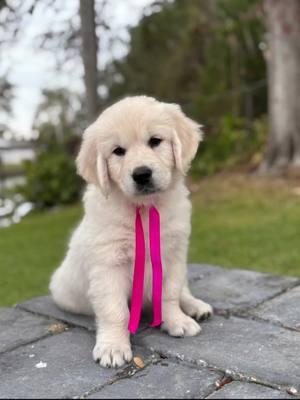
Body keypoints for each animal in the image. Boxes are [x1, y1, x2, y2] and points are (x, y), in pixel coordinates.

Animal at [49, 95, 212, 368]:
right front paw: (113, 346)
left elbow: (170, 293)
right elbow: (115, 311)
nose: (142, 174)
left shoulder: (173, 255)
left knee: (184, 291)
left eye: (155, 141)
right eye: (118, 151)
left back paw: (196, 307)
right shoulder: (108, 265)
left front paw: (176, 321)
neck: (143, 210)